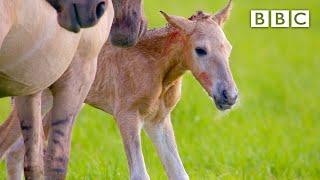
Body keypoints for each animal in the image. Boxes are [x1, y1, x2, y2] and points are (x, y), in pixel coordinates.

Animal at [1, 1, 236, 180]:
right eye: (200, 50)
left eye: (228, 48)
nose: (229, 96)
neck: (156, 66)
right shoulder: (127, 116)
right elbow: (140, 174)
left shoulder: (158, 120)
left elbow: (179, 173)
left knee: (17, 153)